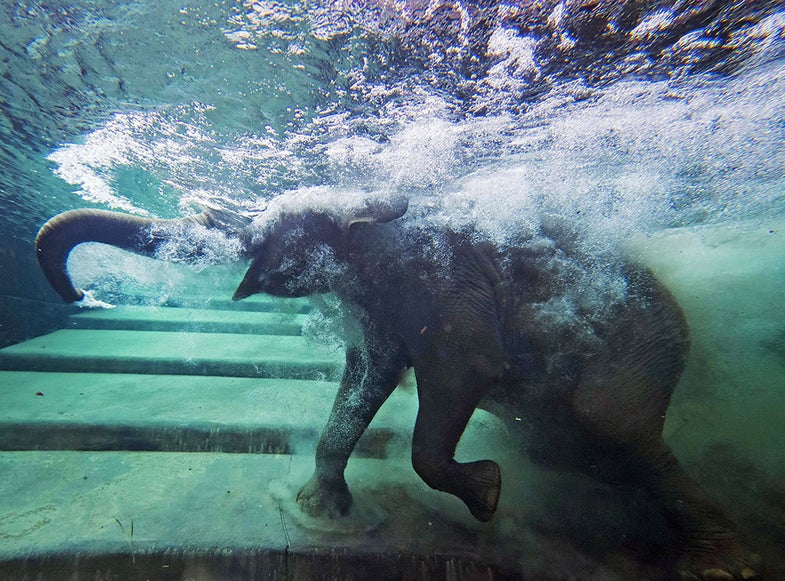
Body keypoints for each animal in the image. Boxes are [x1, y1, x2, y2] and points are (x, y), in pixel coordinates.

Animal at [36, 196, 760, 580]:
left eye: (272, 232)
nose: (81, 297)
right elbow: (368, 374)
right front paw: (321, 510)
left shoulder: (445, 284)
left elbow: (459, 374)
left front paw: (488, 495)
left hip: (642, 344)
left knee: (610, 422)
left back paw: (719, 563)